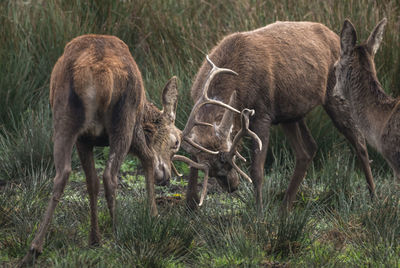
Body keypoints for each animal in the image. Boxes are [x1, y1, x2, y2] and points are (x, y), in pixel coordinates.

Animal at [21, 34, 181, 264]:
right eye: (176, 141)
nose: (166, 177)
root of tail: (101, 75)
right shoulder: (136, 130)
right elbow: (148, 158)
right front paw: (154, 216)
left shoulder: (85, 141)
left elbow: (91, 184)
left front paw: (94, 238)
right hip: (124, 120)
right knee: (110, 176)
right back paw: (118, 236)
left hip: (64, 117)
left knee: (63, 174)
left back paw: (34, 248)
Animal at [174, 21, 376, 211]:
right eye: (214, 172)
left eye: (232, 160)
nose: (232, 186)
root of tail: (334, 35)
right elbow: (192, 161)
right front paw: (190, 205)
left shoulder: (262, 114)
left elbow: (257, 170)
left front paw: (259, 212)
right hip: (291, 112)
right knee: (307, 150)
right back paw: (284, 209)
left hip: (334, 96)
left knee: (359, 142)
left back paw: (373, 196)